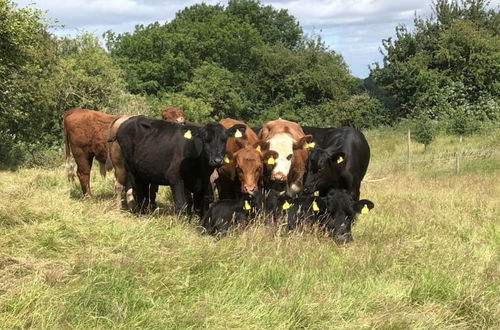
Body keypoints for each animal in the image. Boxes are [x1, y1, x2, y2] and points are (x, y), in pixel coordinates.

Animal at [115, 116, 244, 214]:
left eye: (224, 139)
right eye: (205, 139)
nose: (217, 160)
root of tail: (129, 120)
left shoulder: (203, 182)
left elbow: (199, 207)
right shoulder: (175, 178)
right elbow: (181, 205)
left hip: (145, 171)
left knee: (144, 193)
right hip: (131, 169)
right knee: (137, 192)